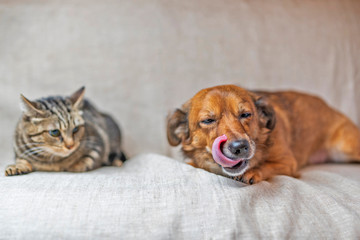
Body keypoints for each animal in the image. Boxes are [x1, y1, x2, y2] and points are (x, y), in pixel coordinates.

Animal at [167, 84, 360, 184]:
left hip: (346, 147)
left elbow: (266, 166)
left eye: (245, 114)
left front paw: (253, 172)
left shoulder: (288, 162)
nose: (240, 147)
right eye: (208, 120)